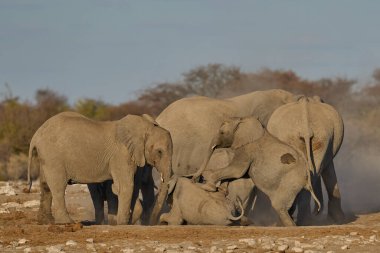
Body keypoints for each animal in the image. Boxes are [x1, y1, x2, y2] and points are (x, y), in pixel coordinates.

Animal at [27, 111, 173, 224]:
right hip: (54, 157)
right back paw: (67, 222)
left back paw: (46, 221)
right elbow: (125, 186)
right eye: (159, 152)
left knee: (45, 186)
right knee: (58, 186)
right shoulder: (121, 155)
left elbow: (133, 187)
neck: (146, 128)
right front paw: (122, 223)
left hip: (46, 157)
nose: (153, 223)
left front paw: (121, 221)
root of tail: (36, 135)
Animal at [268, 96, 344, 224]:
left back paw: (302, 220)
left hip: (309, 138)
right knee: (312, 172)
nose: (317, 211)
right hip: (321, 138)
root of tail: (306, 127)